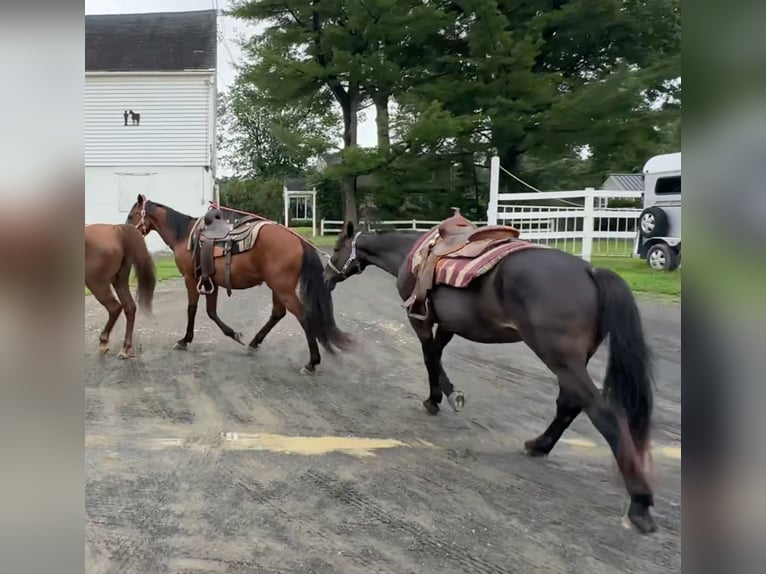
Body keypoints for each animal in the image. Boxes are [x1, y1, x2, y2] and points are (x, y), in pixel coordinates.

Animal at [85, 223, 156, 358]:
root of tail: (116, 229)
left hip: (96, 282)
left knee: (115, 307)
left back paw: (104, 342)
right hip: (119, 280)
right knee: (129, 307)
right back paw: (126, 348)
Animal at [127, 194, 354, 374]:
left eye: (132, 215)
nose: (126, 230)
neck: (184, 235)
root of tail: (297, 239)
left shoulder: (191, 279)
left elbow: (192, 309)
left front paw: (184, 340)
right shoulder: (211, 281)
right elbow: (211, 312)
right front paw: (234, 334)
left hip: (283, 288)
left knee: (303, 316)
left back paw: (312, 362)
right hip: (277, 287)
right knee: (277, 313)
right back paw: (254, 343)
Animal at [324, 224, 660, 536]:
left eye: (338, 246)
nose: (327, 277)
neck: (410, 253)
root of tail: (590, 271)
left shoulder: (419, 318)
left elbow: (429, 357)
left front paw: (436, 398)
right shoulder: (448, 323)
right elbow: (437, 355)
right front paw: (447, 394)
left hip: (560, 358)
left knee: (603, 414)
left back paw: (640, 503)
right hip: (573, 361)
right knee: (569, 404)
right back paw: (539, 445)